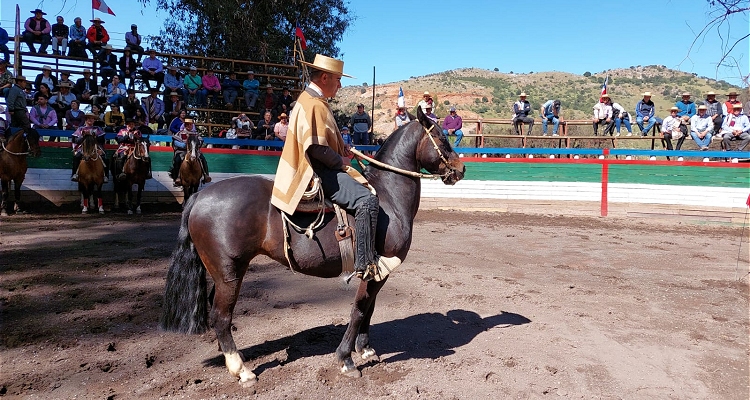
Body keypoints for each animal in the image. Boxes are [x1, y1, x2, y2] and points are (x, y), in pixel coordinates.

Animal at [162, 111, 468, 386]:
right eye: (442, 137)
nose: (460, 169)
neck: (387, 198)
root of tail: (200, 196)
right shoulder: (372, 267)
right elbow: (359, 309)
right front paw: (346, 359)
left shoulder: (379, 271)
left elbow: (370, 308)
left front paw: (365, 349)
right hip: (229, 272)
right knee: (221, 316)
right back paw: (242, 370)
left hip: (223, 272)